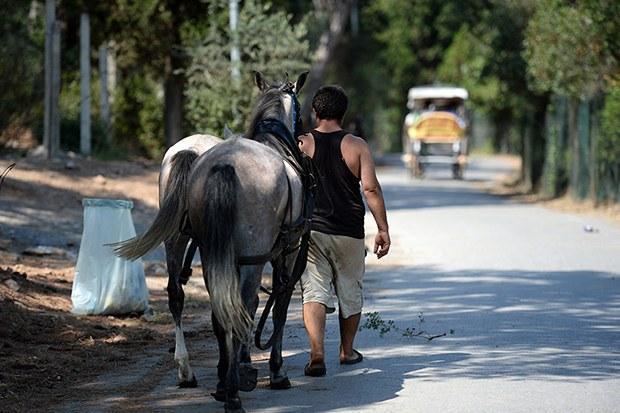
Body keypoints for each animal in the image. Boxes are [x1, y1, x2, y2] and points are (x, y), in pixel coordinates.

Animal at [115, 71, 308, 412]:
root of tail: (222, 163)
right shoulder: (286, 251)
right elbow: (278, 306)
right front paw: (273, 370)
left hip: (186, 244)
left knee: (187, 298)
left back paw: (194, 373)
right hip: (251, 256)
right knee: (242, 303)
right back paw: (233, 389)